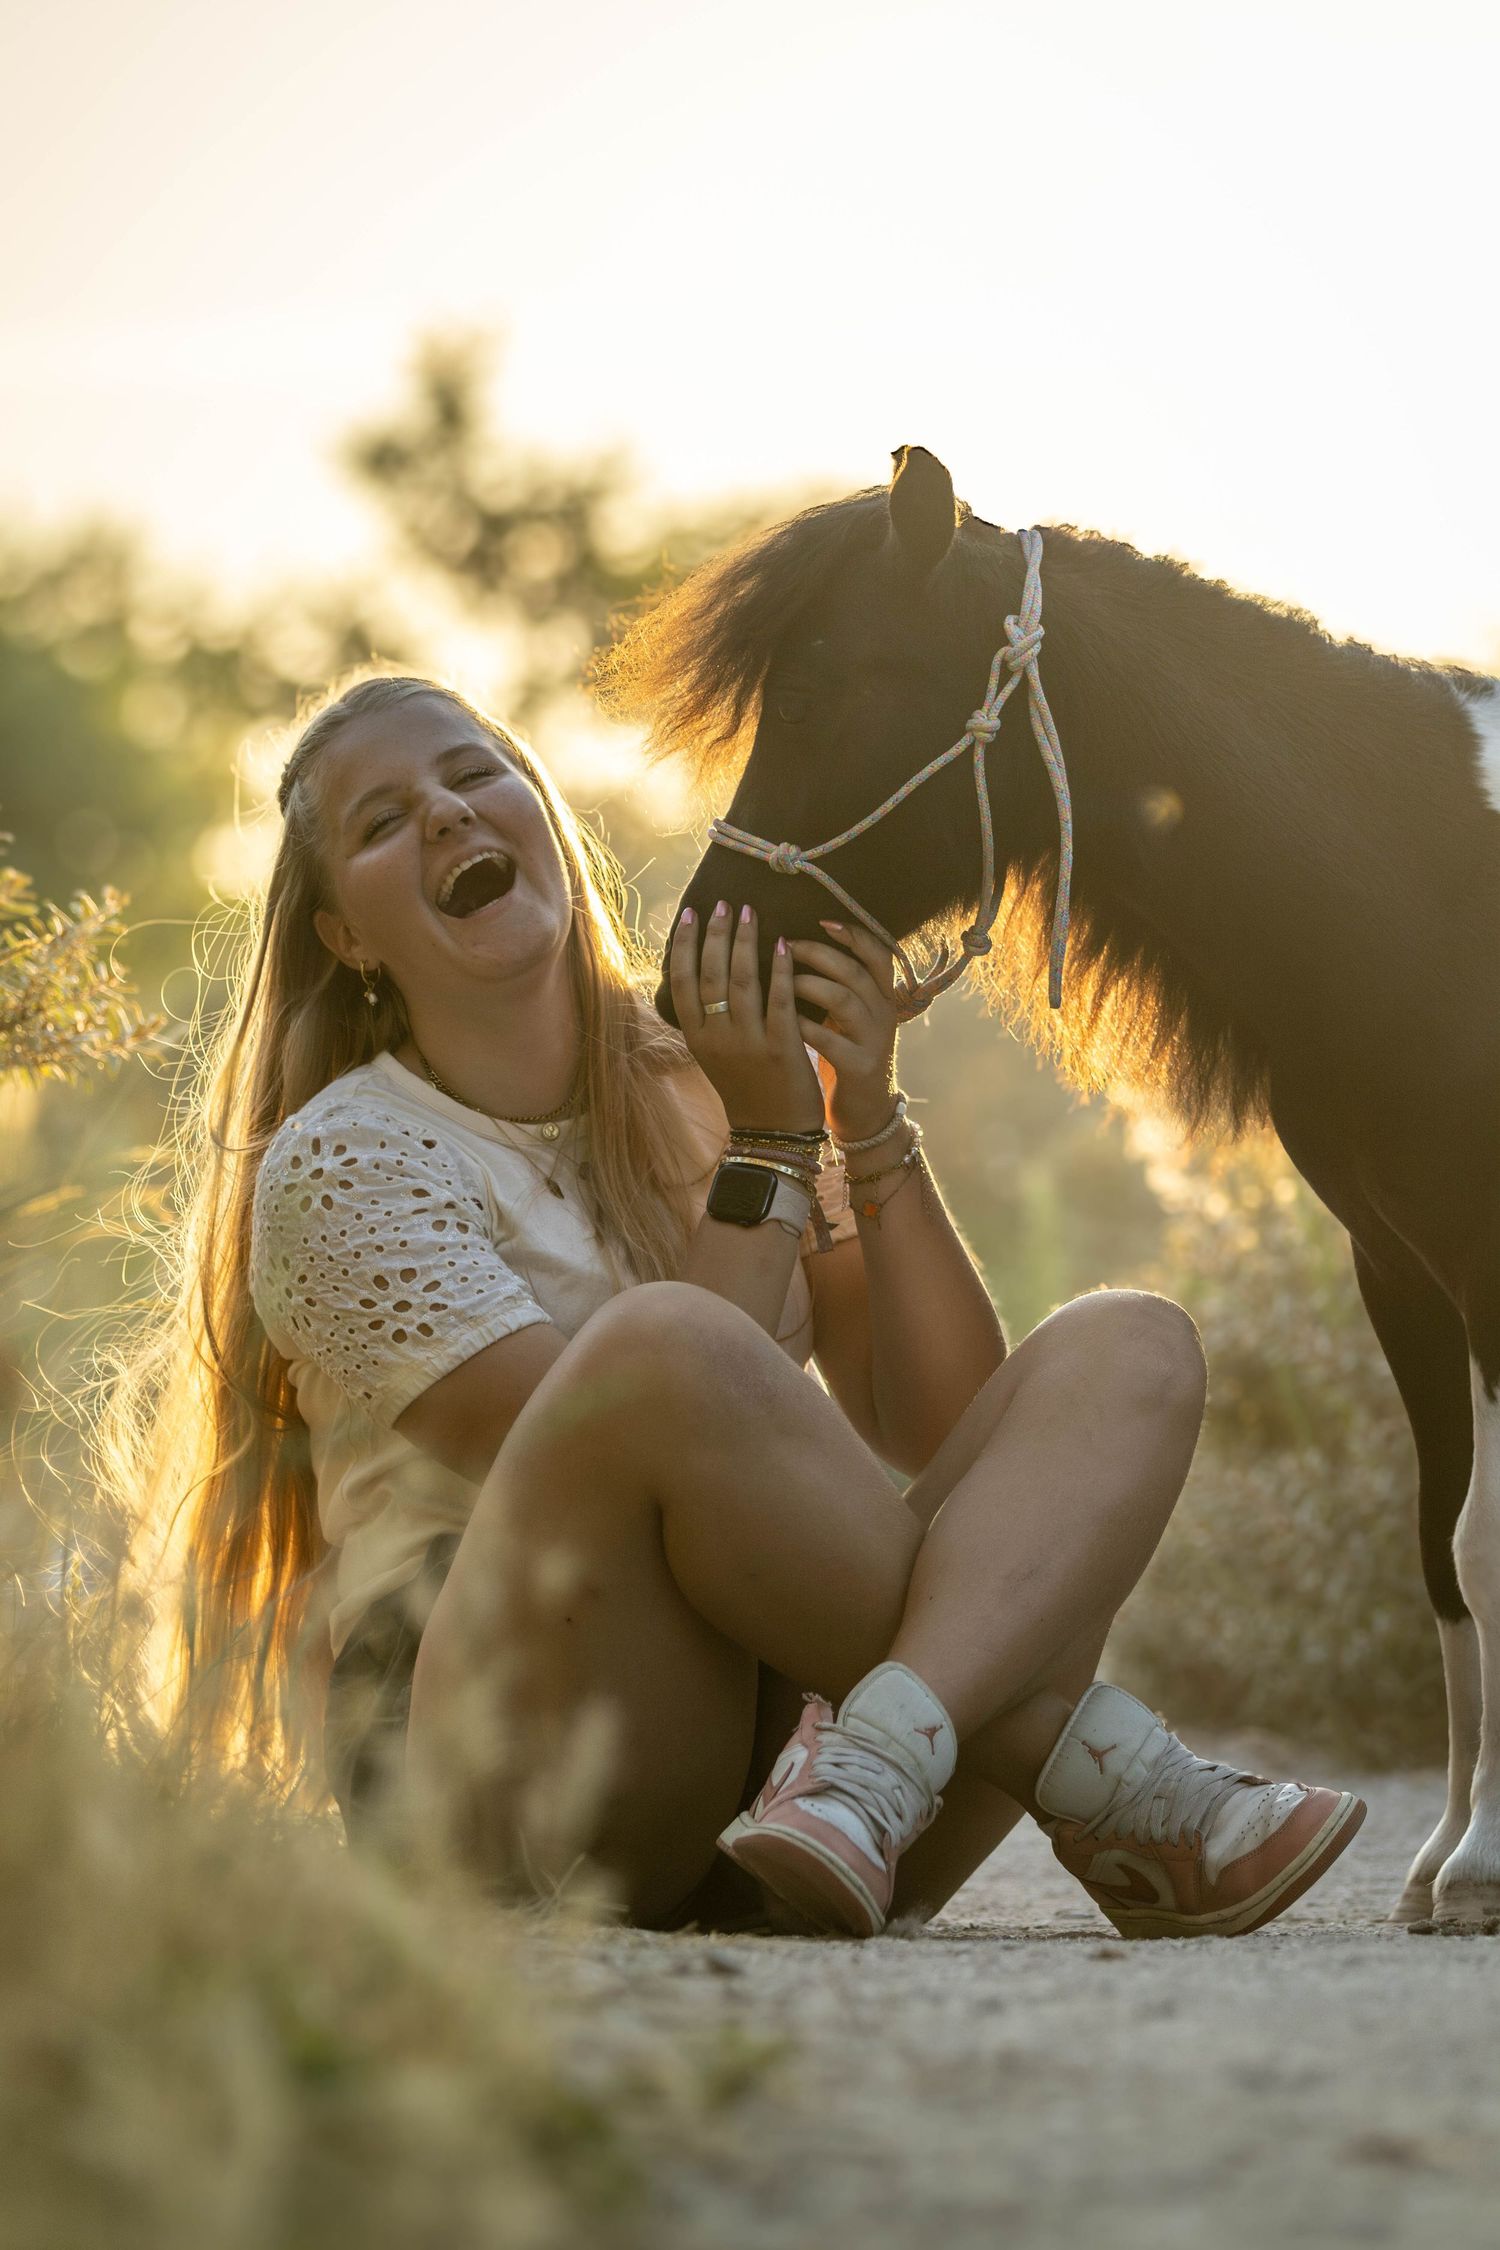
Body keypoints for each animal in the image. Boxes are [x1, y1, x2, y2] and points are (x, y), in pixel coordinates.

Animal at [596, 443, 1500, 1932]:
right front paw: (1455, 1863)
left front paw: (1483, 1860)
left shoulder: (1478, 1256)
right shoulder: (1405, 1264)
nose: (684, 972)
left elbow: (1483, 1542)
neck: (1436, 878)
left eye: (828, 683)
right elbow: (1444, 1552)